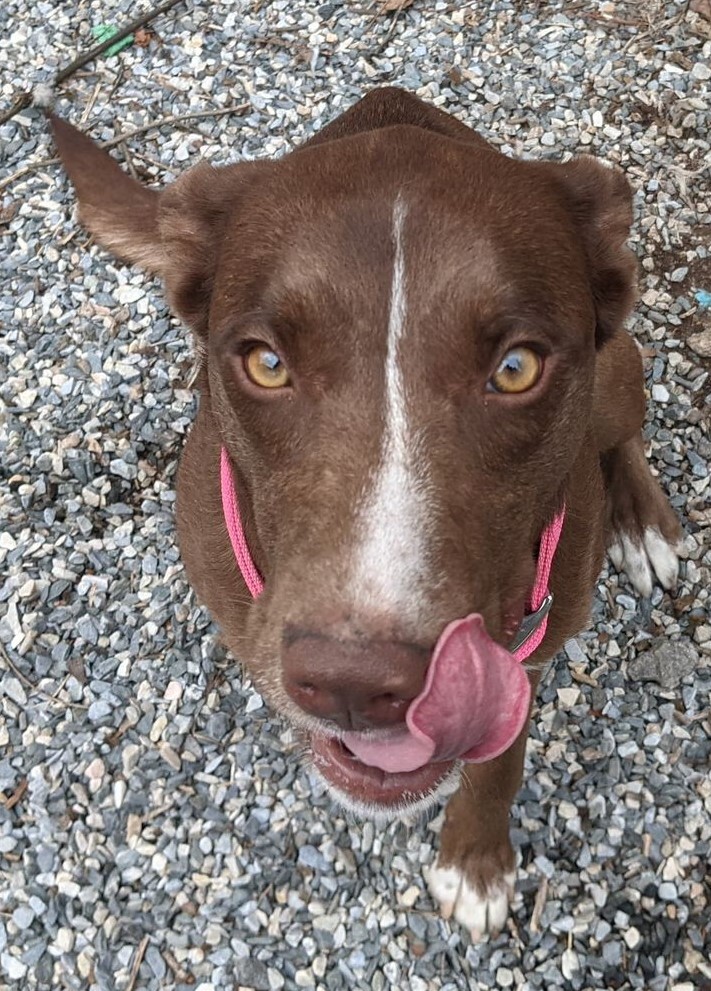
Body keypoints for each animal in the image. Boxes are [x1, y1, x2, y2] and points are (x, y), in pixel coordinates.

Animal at [52, 91, 680, 936]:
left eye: (515, 368)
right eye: (266, 363)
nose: (354, 683)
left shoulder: (532, 641)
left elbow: (499, 755)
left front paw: (475, 860)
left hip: (617, 372)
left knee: (624, 432)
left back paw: (641, 521)